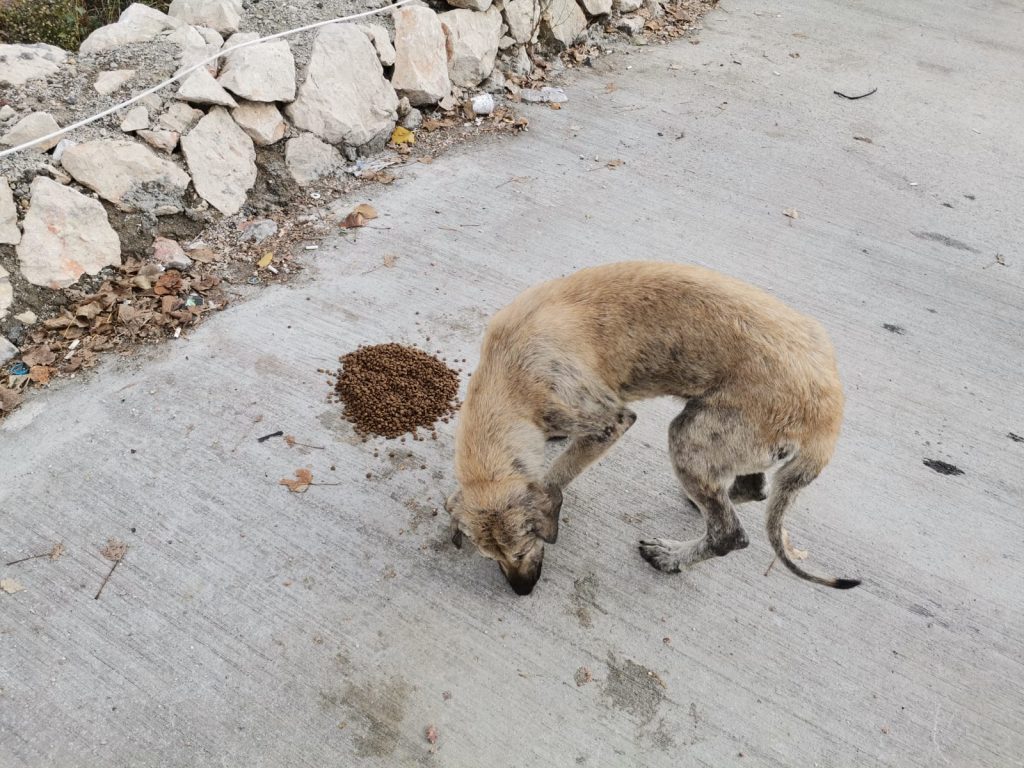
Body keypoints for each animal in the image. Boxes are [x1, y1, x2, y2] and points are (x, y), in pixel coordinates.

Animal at [445, 261, 859, 596]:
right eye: (489, 556)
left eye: (520, 551)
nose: (523, 591)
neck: (507, 376)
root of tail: (829, 417)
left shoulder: (609, 421)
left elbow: (555, 478)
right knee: (752, 489)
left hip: (688, 435)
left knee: (729, 534)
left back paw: (672, 557)